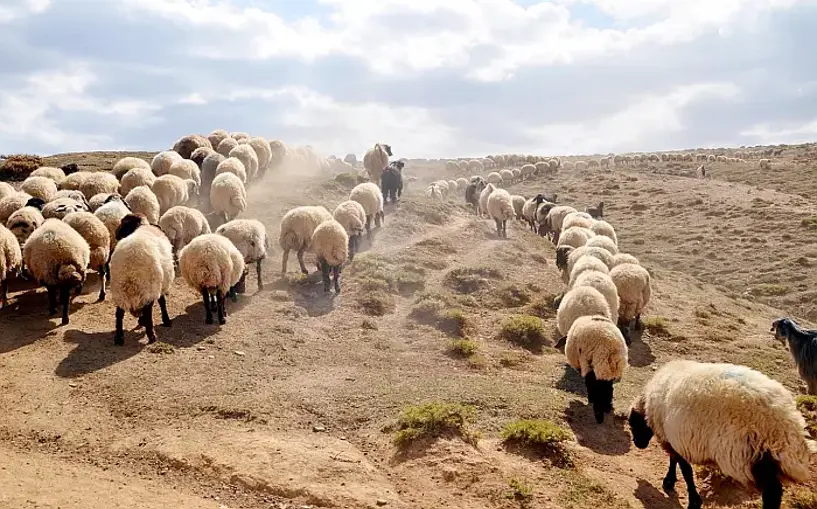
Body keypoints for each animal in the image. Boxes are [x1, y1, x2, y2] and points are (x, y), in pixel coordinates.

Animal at [109, 212, 173, 344]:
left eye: (123, 223)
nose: (116, 233)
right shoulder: (161, 284)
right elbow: (162, 302)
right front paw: (166, 320)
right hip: (147, 289)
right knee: (148, 314)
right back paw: (152, 336)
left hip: (119, 290)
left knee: (119, 314)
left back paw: (119, 338)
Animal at [628, 358, 812, 508]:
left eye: (632, 424)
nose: (638, 444)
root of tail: (782, 422)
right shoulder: (672, 438)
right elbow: (676, 462)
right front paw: (671, 482)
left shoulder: (673, 439)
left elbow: (684, 469)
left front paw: (690, 498)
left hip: (748, 453)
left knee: (772, 493)